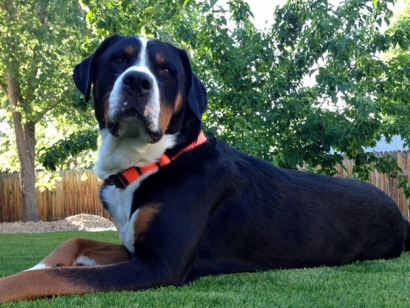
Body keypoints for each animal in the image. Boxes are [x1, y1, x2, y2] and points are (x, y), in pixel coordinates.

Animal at [0, 35, 410, 302]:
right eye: (118, 60)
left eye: (166, 70)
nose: (137, 81)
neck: (152, 162)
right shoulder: (136, 248)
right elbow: (74, 241)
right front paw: (41, 265)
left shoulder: (160, 264)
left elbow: (55, 278)